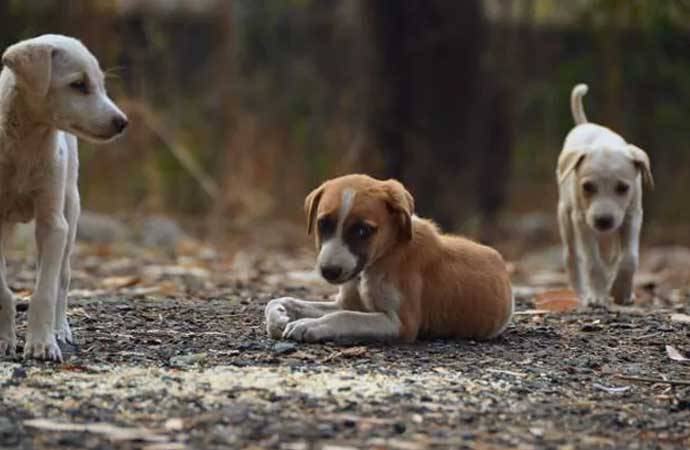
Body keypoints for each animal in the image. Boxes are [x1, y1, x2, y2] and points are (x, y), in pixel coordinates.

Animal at [0, 33, 126, 360]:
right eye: (78, 84)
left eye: (101, 83)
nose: (123, 122)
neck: (25, 144)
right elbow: (3, 290)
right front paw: (5, 340)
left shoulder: (53, 224)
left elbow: (44, 291)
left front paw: (43, 344)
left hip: (70, 211)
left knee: (63, 278)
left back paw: (60, 330)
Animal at [264, 174, 510, 342]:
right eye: (323, 224)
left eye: (362, 230)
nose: (329, 271)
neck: (386, 254)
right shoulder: (347, 302)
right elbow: (281, 300)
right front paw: (278, 317)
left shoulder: (400, 323)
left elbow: (345, 317)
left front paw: (310, 325)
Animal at [552, 84, 652, 306]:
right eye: (587, 187)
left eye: (623, 188)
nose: (603, 221)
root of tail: (585, 124)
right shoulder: (582, 221)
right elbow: (592, 261)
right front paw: (597, 296)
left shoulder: (632, 216)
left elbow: (630, 257)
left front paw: (621, 291)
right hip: (565, 216)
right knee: (571, 256)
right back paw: (583, 293)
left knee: (611, 256)